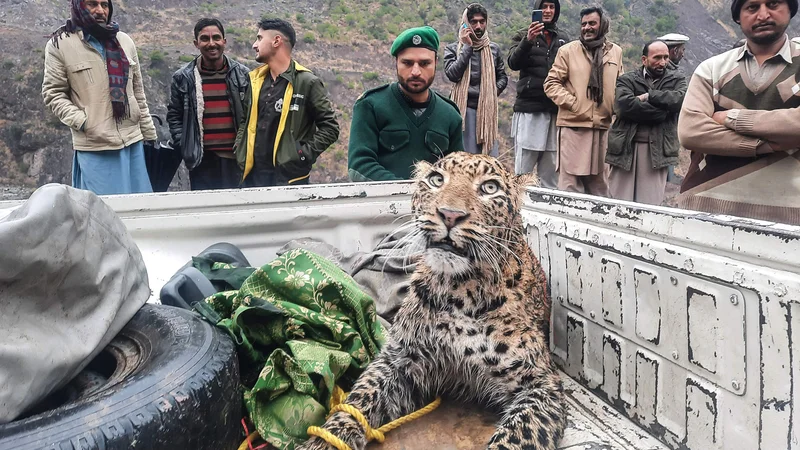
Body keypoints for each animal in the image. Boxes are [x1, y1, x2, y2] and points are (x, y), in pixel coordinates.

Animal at [296, 152, 564, 450]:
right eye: (436, 180)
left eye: (490, 188)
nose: (450, 214)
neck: (458, 291)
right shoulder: (400, 360)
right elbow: (361, 397)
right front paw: (325, 440)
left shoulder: (541, 383)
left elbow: (516, 437)